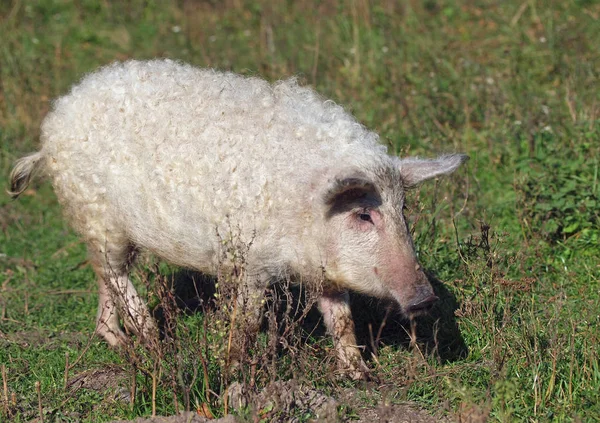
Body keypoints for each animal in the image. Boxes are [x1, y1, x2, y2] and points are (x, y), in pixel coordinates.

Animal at [10, 58, 468, 378]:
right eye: (363, 214)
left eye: (402, 209)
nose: (426, 299)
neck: (305, 211)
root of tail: (55, 121)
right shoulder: (249, 262)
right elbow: (246, 322)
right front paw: (233, 372)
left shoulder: (323, 268)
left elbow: (341, 319)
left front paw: (361, 377)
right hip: (97, 211)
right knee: (116, 274)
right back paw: (156, 345)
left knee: (103, 275)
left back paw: (122, 343)